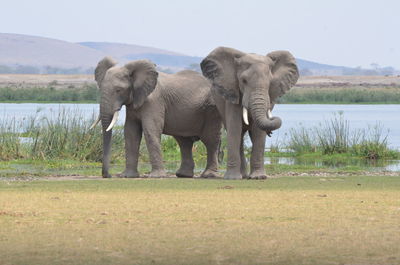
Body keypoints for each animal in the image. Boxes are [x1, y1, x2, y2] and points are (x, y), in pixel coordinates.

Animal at [91, 57, 222, 178]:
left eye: (119, 90)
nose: (108, 175)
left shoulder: (154, 101)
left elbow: (150, 130)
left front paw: (156, 176)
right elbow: (130, 132)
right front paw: (127, 176)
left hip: (212, 110)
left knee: (210, 140)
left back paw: (208, 175)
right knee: (184, 142)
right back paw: (183, 175)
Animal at [202, 47, 298, 179]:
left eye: (270, 82)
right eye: (243, 81)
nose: (270, 132)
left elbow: (258, 132)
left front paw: (259, 177)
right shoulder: (232, 91)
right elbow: (234, 128)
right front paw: (232, 178)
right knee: (239, 135)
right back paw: (242, 175)